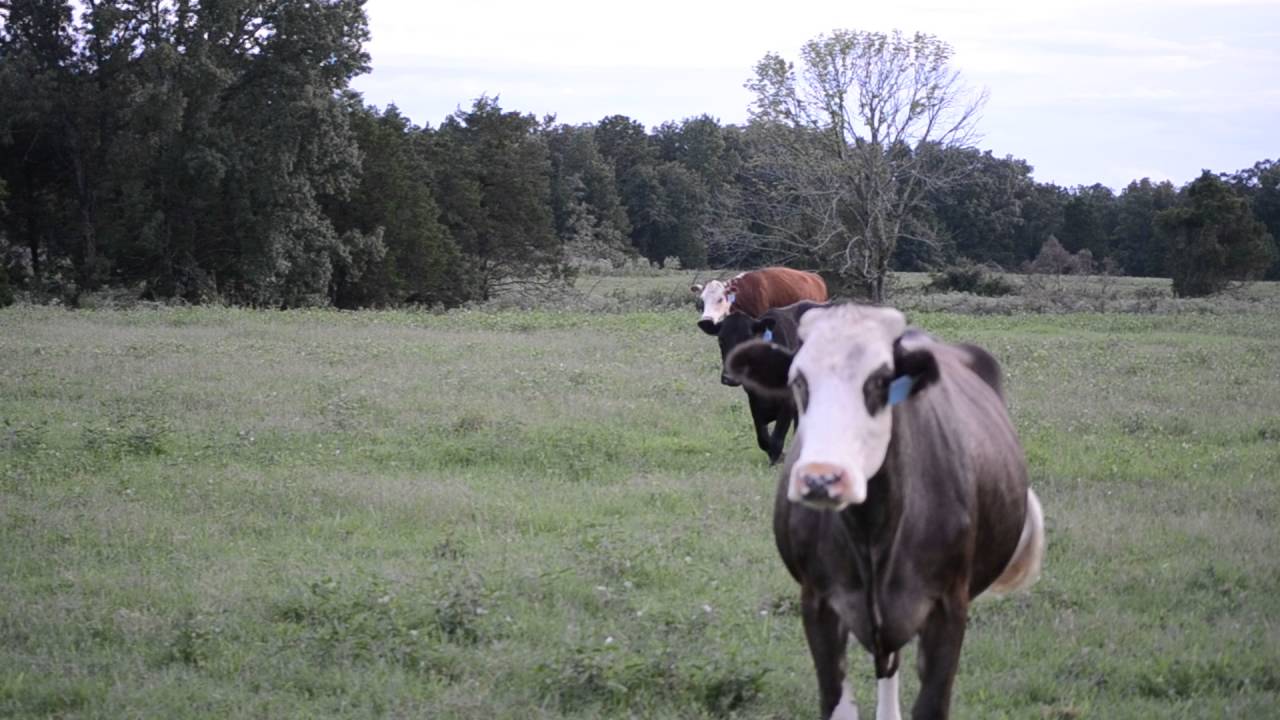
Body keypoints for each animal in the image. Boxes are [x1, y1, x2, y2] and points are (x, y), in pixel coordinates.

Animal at [725, 303, 1045, 720]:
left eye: (880, 381)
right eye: (798, 380)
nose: (822, 478)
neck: (873, 530)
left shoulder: (949, 608)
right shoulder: (818, 604)